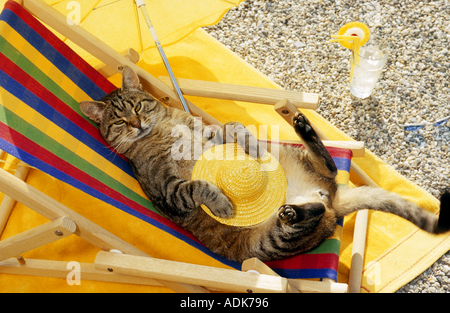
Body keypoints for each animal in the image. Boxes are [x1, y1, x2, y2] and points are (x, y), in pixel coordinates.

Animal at [81, 67, 450, 262]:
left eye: (138, 106)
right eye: (118, 121)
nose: (135, 124)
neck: (164, 128)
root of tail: (334, 200)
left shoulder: (213, 131)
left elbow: (232, 129)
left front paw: (252, 149)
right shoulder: (169, 189)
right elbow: (200, 185)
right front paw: (223, 203)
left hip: (290, 153)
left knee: (329, 168)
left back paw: (303, 132)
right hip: (271, 242)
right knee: (308, 212)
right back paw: (293, 211)